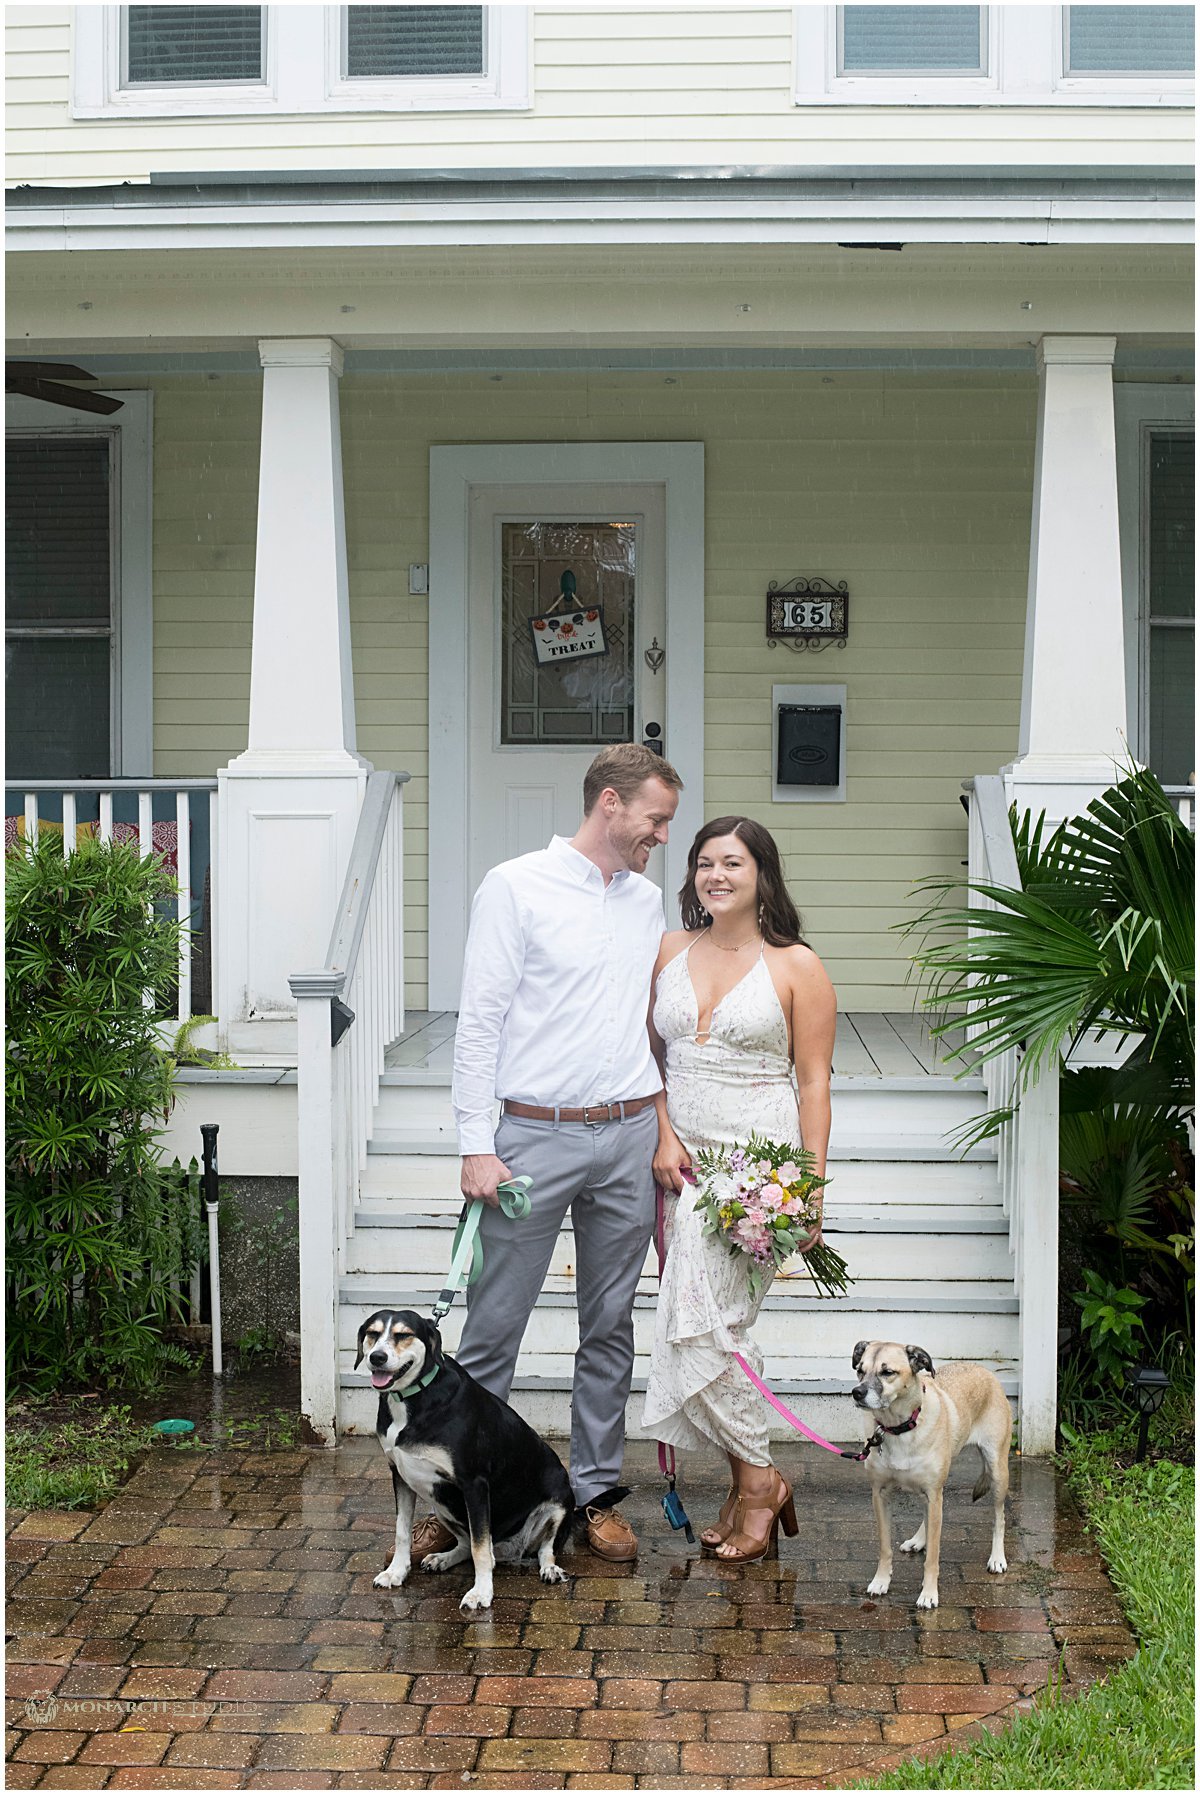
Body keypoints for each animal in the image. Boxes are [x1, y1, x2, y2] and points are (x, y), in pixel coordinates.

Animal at [353, 1306, 573, 1615]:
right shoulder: (400, 1476)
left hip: (559, 1500)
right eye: (373, 1333)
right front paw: (396, 1572)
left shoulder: (474, 1484)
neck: (415, 1398)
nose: (377, 1357)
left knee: (543, 1549)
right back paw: (443, 1558)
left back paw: (549, 1568)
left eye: (403, 1335)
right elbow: (402, 1531)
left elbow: (481, 1548)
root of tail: (510, 1551)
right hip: (441, 1504)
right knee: (467, 1545)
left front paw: (481, 1593)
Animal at [846, 1335, 1004, 1615]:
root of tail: (985, 1369)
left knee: (999, 1516)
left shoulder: (933, 1492)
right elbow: (885, 1547)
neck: (899, 1427)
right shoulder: (881, 1495)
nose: (857, 1392)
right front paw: (881, 1581)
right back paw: (918, 1540)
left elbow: (933, 1558)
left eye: (887, 1372)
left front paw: (929, 1594)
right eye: (860, 1370)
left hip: (996, 1469)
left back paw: (997, 1558)